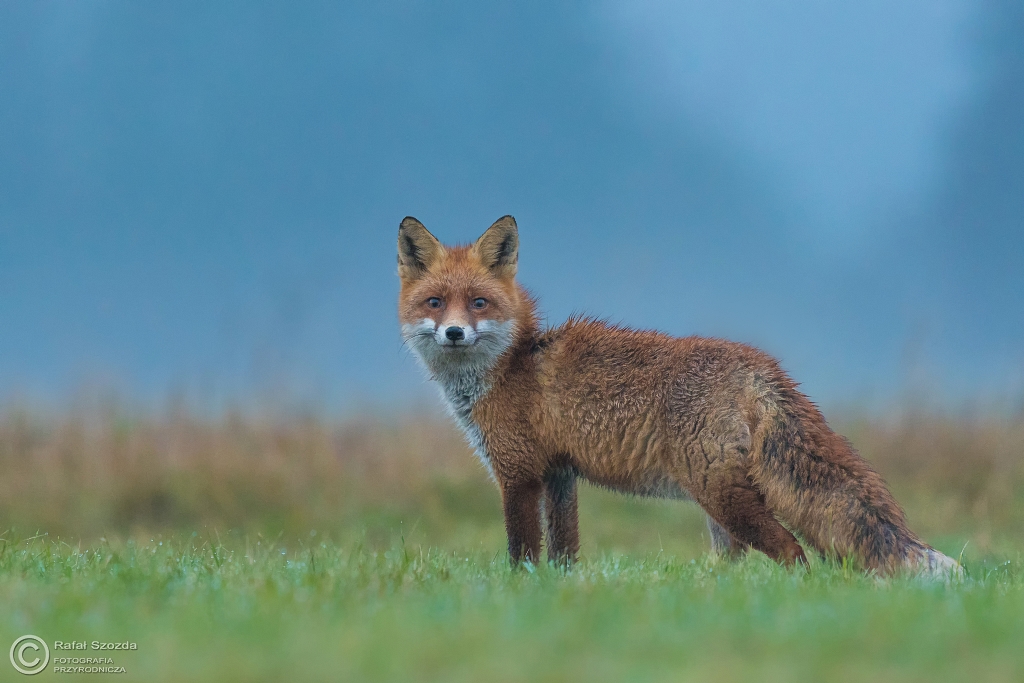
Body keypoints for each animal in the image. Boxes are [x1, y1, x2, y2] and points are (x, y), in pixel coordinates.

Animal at [397, 215, 960, 577]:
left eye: (478, 303)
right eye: (434, 302)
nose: (453, 333)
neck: (510, 365)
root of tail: (761, 366)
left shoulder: (517, 473)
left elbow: (522, 555)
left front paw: (523, 596)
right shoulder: (558, 473)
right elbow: (564, 554)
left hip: (720, 495)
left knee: (793, 552)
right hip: (720, 509)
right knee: (738, 564)